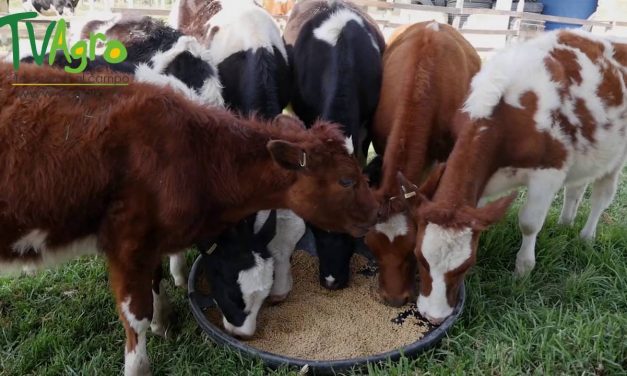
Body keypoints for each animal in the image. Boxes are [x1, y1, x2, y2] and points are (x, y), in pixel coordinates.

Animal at [0, 63, 378, 374]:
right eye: (347, 180)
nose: (376, 211)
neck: (191, 154)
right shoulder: (128, 245)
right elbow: (135, 316)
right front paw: (139, 364)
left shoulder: (152, 241)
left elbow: (155, 283)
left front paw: (163, 322)